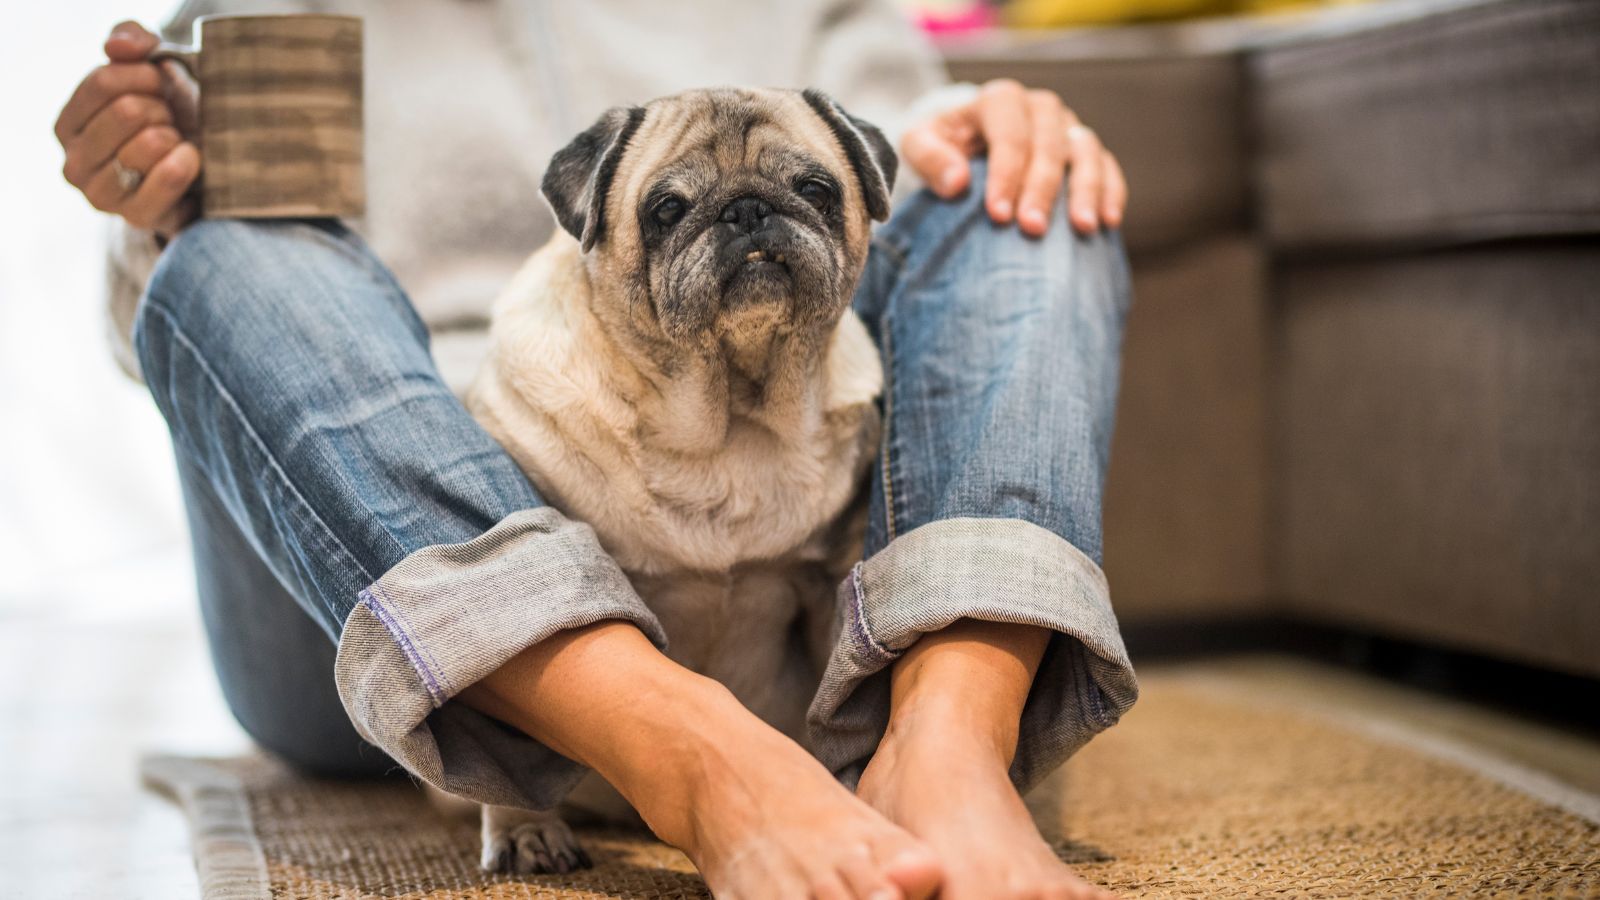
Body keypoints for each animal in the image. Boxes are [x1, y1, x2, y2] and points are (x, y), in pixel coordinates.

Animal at [451, 89, 902, 871]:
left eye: (817, 189)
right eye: (665, 209)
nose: (748, 208)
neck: (729, 421)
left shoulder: (826, 589)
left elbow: (833, 714)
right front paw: (523, 830)